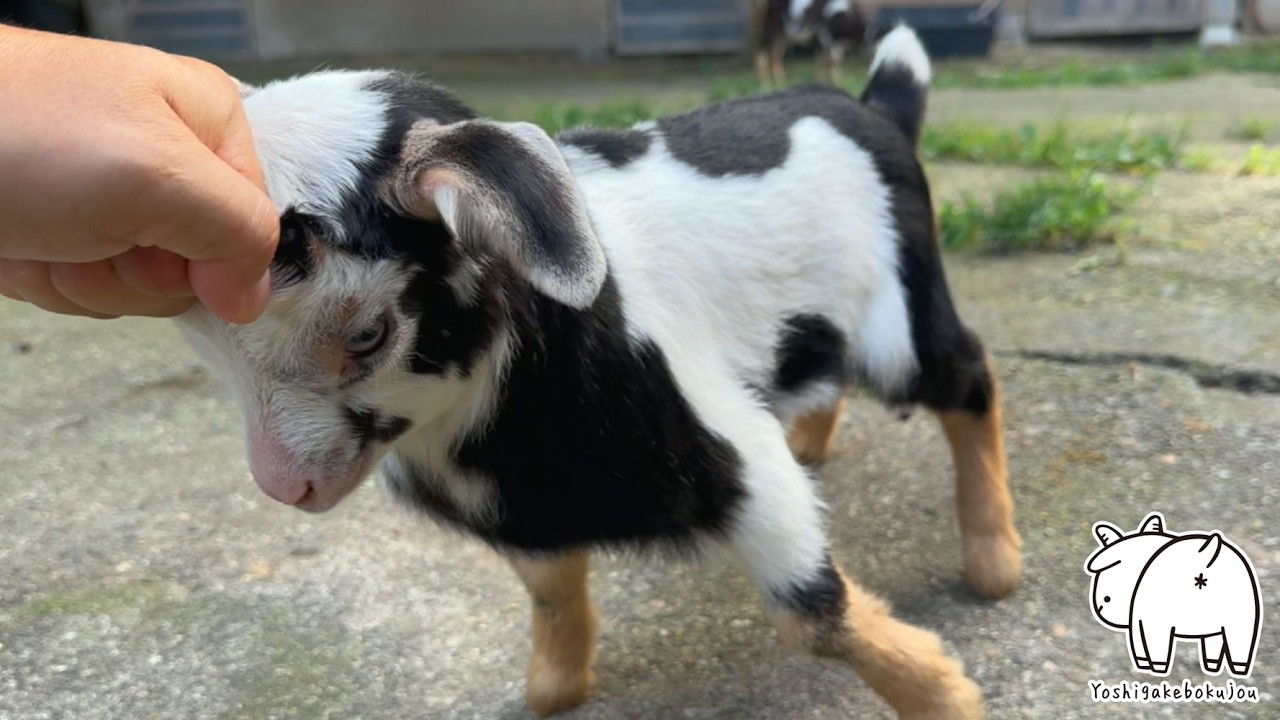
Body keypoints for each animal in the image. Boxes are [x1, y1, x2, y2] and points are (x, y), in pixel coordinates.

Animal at [177, 27, 1019, 719]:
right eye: (201, 342)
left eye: (367, 333)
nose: (288, 488)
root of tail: (877, 107)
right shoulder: (526, 510)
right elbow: (551, 593)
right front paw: (553, 690)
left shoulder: (738, 457)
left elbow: (813, 613)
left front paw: (949, 699)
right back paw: (816, 440)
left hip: (902, 316)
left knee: (970, 375)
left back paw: (994, 566)